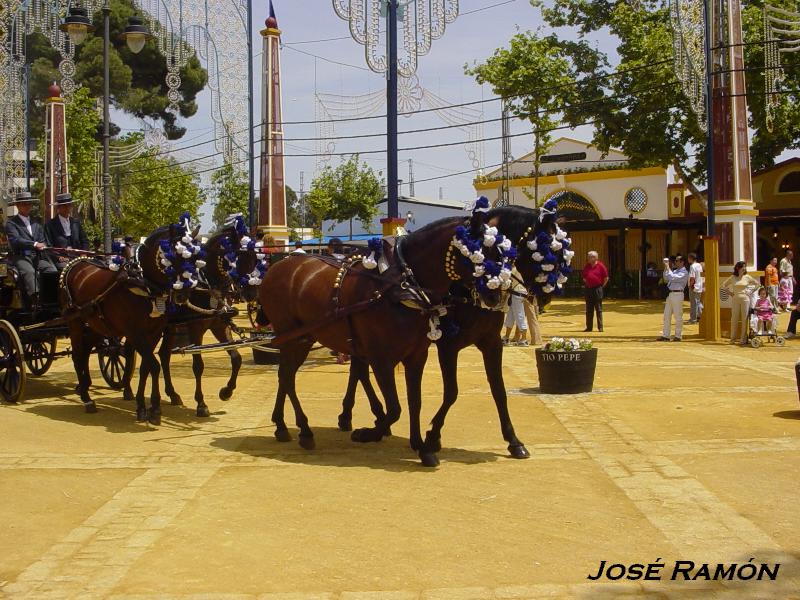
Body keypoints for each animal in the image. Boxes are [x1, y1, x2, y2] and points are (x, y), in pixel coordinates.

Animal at [59, 219, 203, 422]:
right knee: (78, 355)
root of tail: (76, 263)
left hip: (96, 325)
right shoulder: (134, 332)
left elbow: (146, 367)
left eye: (194, 257)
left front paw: (146, 406)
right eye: (173, 256)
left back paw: (84, 387)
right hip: (75, 322)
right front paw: (152, 407)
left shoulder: (154, 331)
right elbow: (154, 365)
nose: (183, 294)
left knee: (86, 352)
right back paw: (87, 399)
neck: (143, 283)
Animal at [256, 211, 510, 468]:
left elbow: (414, 402)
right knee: (287, 377)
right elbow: (395, 408)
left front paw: (421, 447)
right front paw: (368, 433)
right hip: (293, 338)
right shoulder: (381, 358)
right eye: (479, 254)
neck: (402, 284)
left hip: (303, 338)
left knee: (285, 375)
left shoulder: (417, 356)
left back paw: (281, 425)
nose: (494, 296)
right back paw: (305, 430)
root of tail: (276, 267)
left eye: (499, 254)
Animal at [336, 205, 568, 460]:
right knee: (361, 370)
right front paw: (433, 436)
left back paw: (357, 416)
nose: (547, 296)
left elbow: (499, 390)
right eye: (545, 249)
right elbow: (451, 392)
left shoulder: (491, 342)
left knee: (358, 369)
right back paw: (366, 417)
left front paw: (513, 440)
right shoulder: (449, 345)